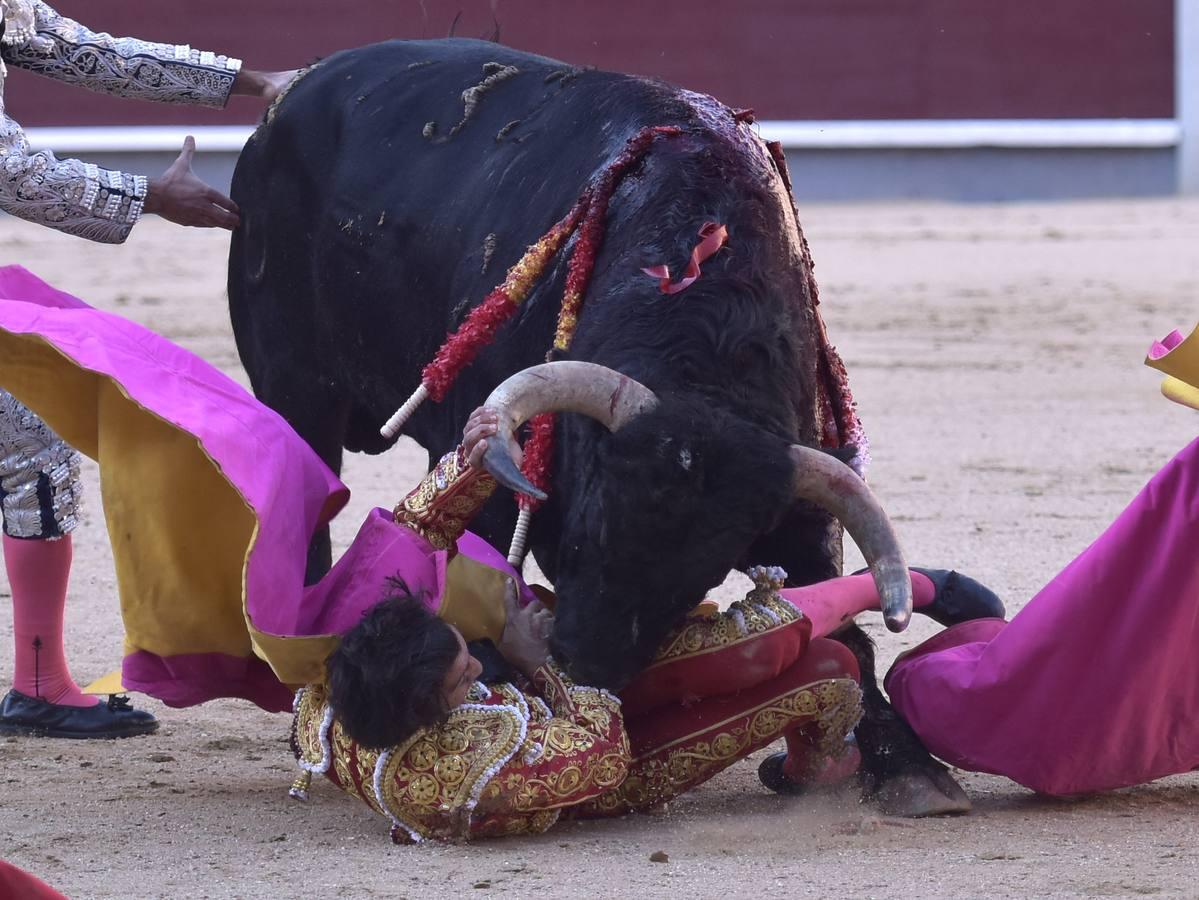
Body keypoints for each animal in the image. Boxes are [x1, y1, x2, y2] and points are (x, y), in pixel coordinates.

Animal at [231, 38, 963, 814]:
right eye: (586, 529)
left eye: (705, 569)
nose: (585, 666)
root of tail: (302, 84)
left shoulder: (798, 500)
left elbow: (845, 624)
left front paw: (908, 766)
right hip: (292, 386)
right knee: (310, 513)